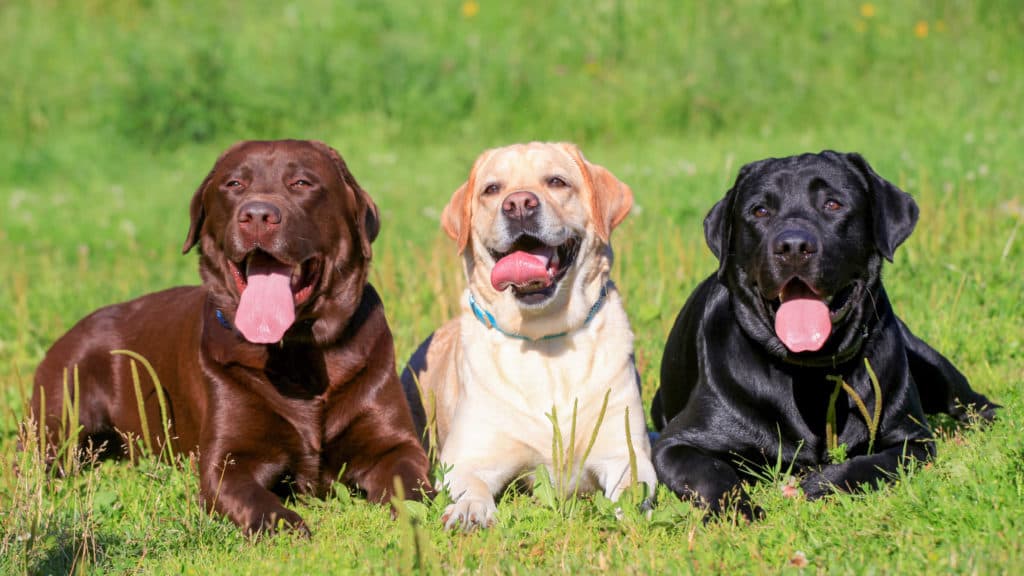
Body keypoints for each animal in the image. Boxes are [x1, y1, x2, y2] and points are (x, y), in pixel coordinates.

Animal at [33, 139, 432, 532]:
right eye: (234, 184)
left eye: (302, 183)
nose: (257, 215)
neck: (297, 353)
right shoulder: (227, 459)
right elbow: (254, 500)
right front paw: (285, 525)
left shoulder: (395, 444)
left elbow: (412, 484)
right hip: (60, 422)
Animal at [399, 142, 655, 528]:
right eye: (492, 189)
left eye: (557, 181)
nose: (519, 203)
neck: (544, 338)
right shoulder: (466, 457)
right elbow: (471, 484)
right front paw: (470, 510)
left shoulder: (624, 449)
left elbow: (631, 486)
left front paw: (630, 513)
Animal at [651, 148, 995, 516]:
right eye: (760, 211)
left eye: (833, 204)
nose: (793, 246)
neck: (810, 374)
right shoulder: (676, 444)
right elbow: (712, 473)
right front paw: (739, 511)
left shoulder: (912, 439)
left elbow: (870, 463)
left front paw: (822, 482)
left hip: (928, 360)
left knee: (972, 401)